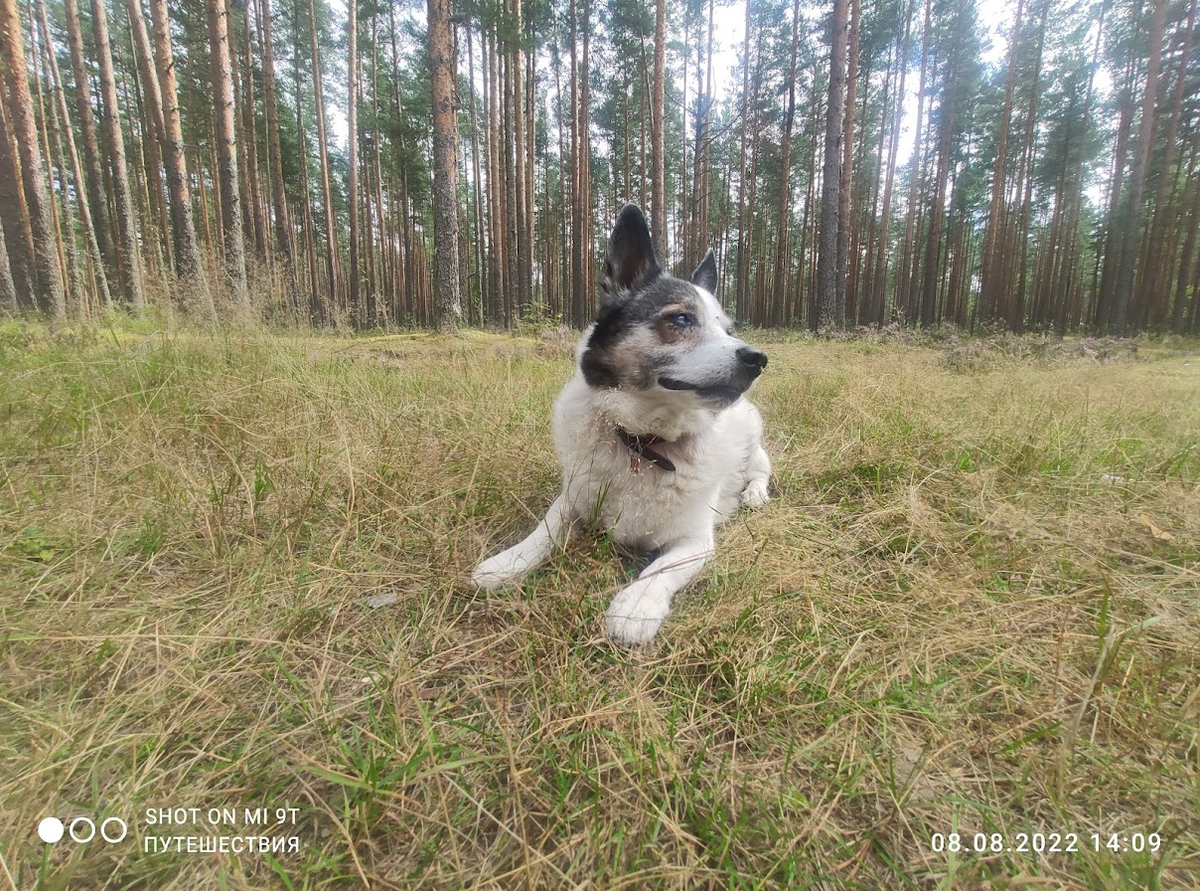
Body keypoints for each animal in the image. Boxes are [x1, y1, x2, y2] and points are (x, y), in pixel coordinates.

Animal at [468, 205, 768, 643]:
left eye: (728, 331)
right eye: (681, 319)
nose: (758, 359)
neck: (644, 441)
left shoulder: (695, 540)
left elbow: (660, 568)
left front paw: (636, 605)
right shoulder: (572, 499)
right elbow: (545, 530)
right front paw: (509, 561)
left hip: (754, 441)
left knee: (761, 471)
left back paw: (756, 494)